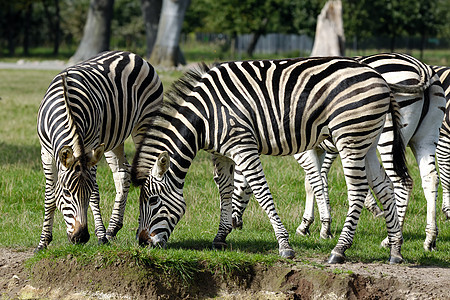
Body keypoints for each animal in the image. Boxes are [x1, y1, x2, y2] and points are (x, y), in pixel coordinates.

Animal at [35, 50, 163, 252]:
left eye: (86, 193)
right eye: (66, 193)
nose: (81, 237)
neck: (67, 106)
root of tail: (132, 54)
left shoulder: (90, 146)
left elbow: (95, 191)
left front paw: (101, 236)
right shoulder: (46, 152)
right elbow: (49, 195)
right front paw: (43, 242)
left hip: (145, 123)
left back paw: (135, 230)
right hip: (113, 140)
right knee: (123, 174)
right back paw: (113, 229)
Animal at [131, 56, 412, 262]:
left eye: (152, 200)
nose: (142, 242)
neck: (205, 116)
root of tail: (381, 80)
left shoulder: (243, 145)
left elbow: (262, 192)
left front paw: (284, 245)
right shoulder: (221, 154)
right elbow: (225, 191)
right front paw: (220, 237)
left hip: (350, 137)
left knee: (358, 190)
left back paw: (339, 250)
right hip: (367, 141)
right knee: (384, 186)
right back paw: (395, 250)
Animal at [232, 53, 446, 251]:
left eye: (233, 183)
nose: (236, 225)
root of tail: (421, 66)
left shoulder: (304, 151)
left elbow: (316, 182)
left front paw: (323, 227)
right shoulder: (321, 148)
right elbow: (313, 183)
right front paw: (308, 224)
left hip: (389, 137)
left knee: (402, 183)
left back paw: (390, 239)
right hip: (425, 139)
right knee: (430, 179)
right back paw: (430, 239)